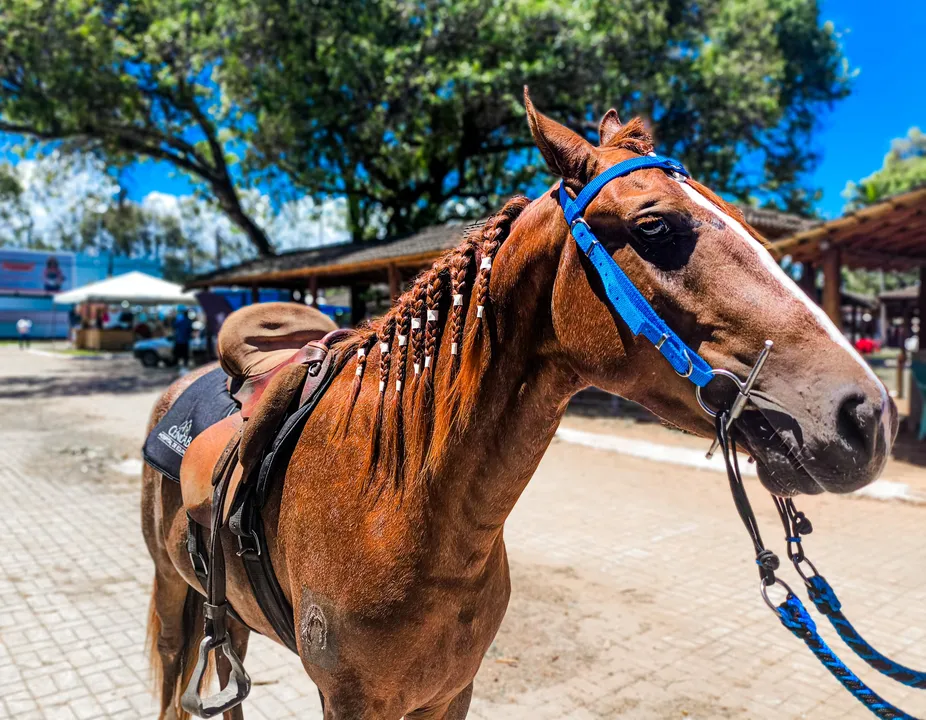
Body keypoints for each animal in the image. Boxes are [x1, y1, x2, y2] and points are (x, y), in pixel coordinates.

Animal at [145, 95, 900, 720]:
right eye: (655, 226)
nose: (867, 415)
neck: (393, 506)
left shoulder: (451, 692)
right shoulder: (352, 703)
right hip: (173, 597)